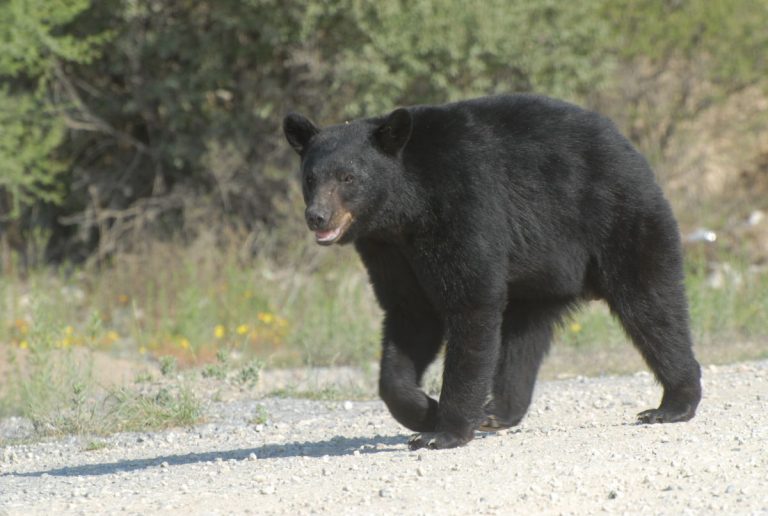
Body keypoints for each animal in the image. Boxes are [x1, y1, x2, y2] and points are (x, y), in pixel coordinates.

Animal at [282, 94, 704, 450]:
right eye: (310, 178)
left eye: (348, 178)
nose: (317, 216)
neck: (405, 211)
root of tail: (627, 145)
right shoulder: (388, 251)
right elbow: (408, 315)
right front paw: (424, 410)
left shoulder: (462, 207)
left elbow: (471, 303)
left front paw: (443, 431)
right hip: (539, 275)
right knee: (522, 338)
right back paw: (497, 412)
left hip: (618, 221)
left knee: (651, 305)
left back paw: (673, 403)